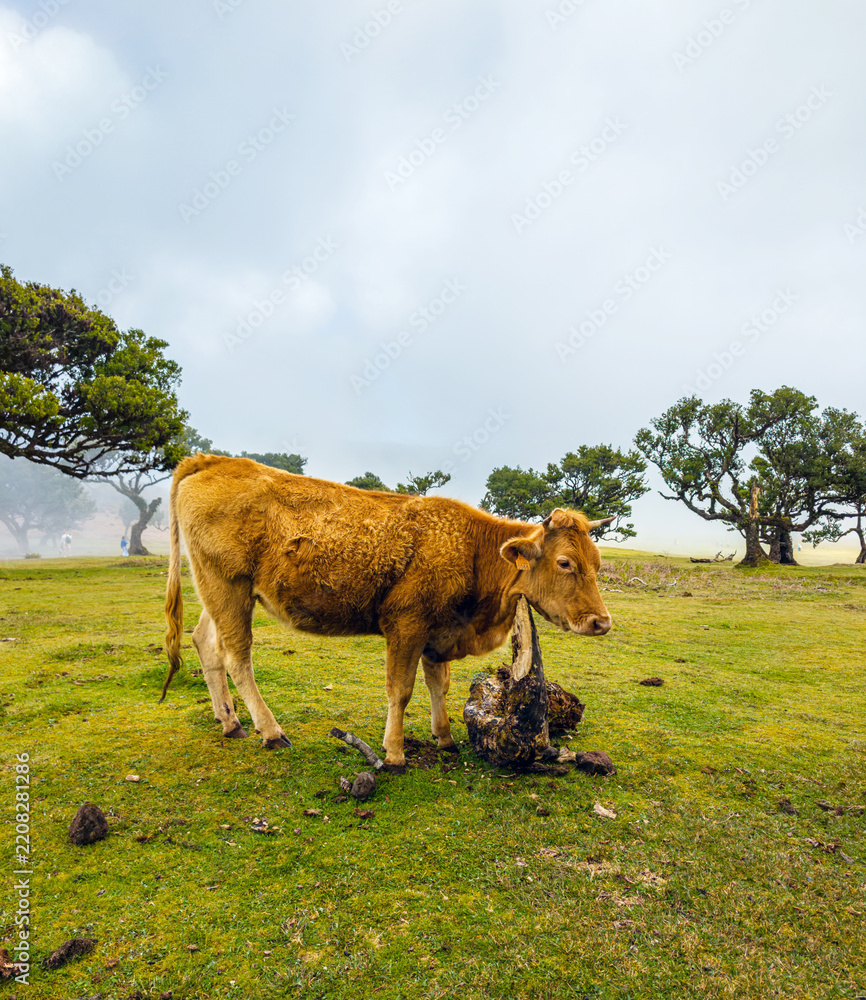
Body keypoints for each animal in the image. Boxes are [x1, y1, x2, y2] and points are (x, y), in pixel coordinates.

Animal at [162, 454, 613, 770]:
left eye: (597, 561)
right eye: (565, 563)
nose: (601, 621)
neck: (472, 549)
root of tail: (210, 460)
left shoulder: (438, 632)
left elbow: (438, 685)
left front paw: (445, 738)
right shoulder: (406, 627)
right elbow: (402, 689)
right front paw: (394, 754)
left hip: (217, 592)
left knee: (206, 644)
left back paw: (231, 723)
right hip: (229, 588)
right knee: (237, 657)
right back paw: (270, 731)